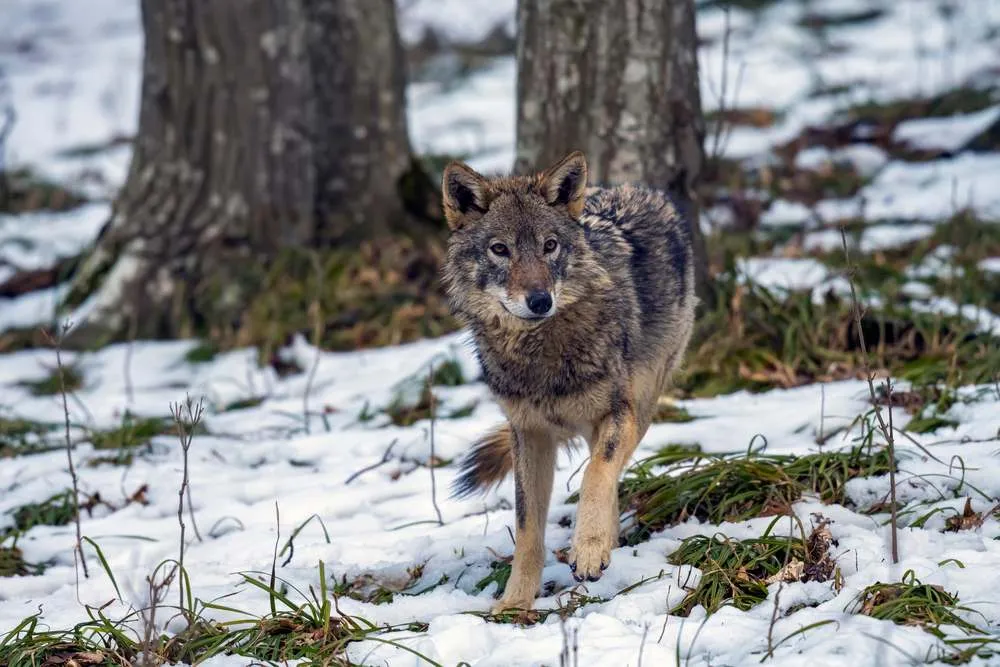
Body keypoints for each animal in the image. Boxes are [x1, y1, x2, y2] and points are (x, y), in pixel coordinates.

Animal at [441, 151, 696, 612]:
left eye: (549, 245)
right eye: (500, 250)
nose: (540, 301)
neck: (540, 355)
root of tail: (643, 191)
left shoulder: (616, 413)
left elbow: (596, 475)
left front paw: (590, 548)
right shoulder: (529, 435)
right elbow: (527, 528)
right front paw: (514, 604)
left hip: (642, 403)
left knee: (614, 465)